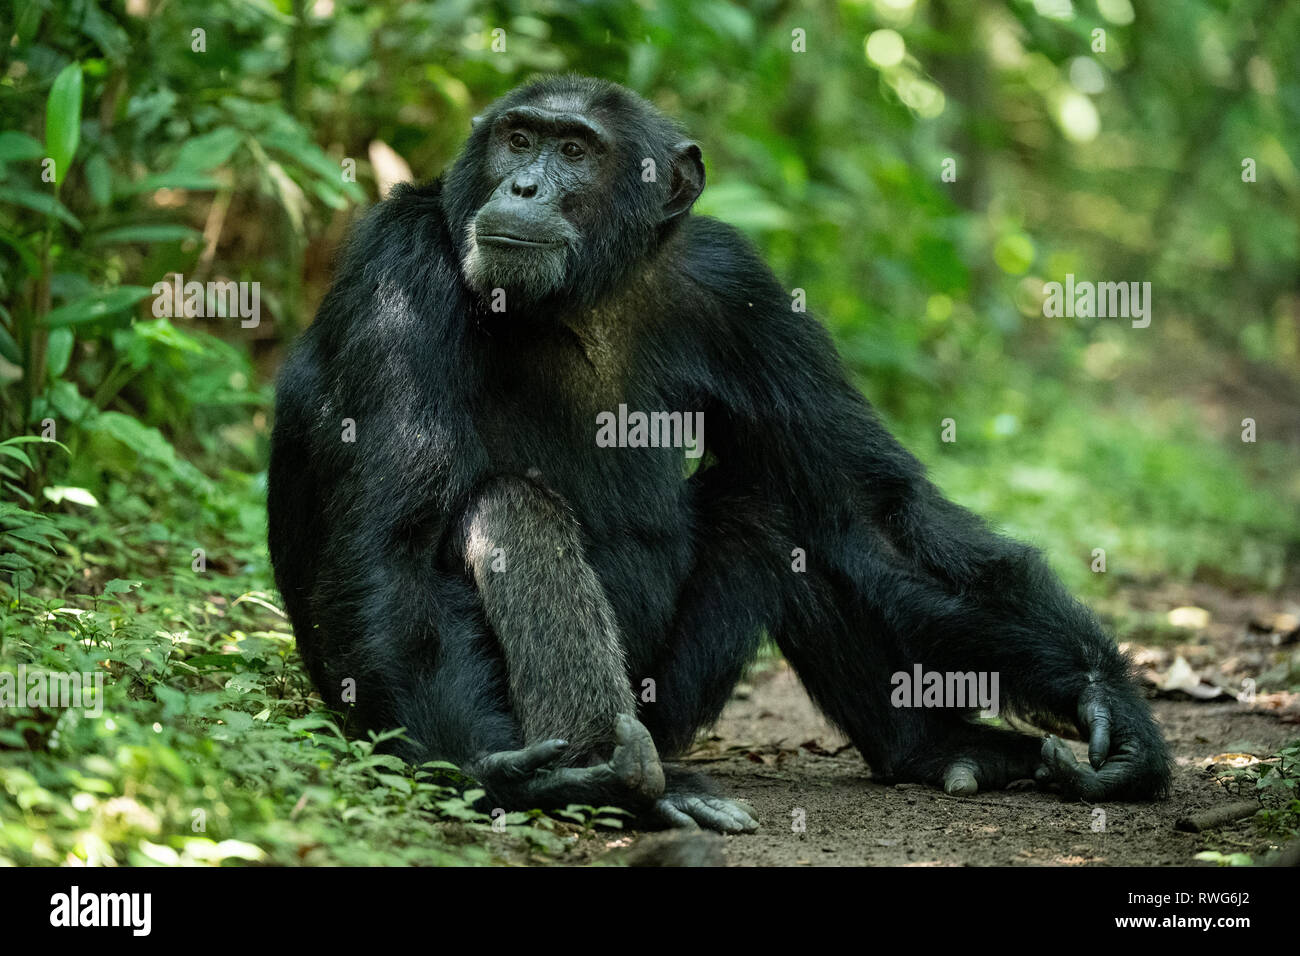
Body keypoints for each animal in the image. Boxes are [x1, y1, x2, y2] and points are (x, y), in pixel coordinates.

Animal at [263, 74, 1170, 832]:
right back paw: (610, 777)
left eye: (574, 152)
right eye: (518, 140)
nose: (522, 186)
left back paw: (935, 750)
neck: (590, 297)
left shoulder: (742, 288)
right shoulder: (398, 277)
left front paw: (1109, 706)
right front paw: (502, 776)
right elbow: (395, 552)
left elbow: (868, 507)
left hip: (673, 693)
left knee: (782, 509)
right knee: (511, 510)